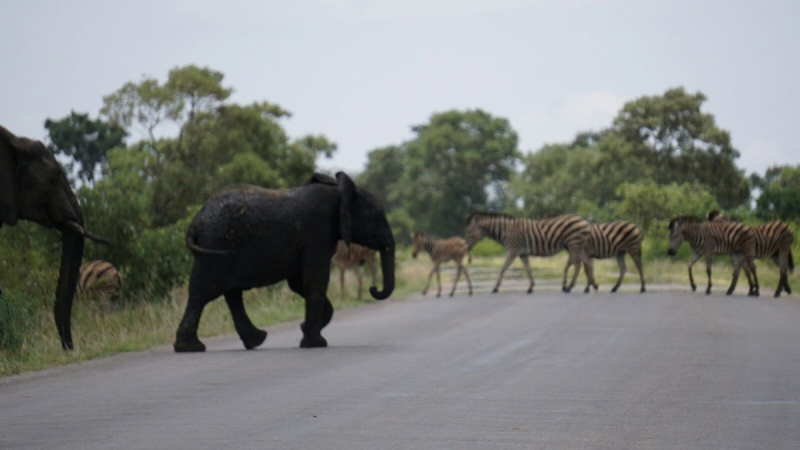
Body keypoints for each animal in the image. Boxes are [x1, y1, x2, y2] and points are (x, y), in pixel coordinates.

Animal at [174, 170, 394, 352]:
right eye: (378, 217)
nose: (374, 289)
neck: (339, 192)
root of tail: (194, 223)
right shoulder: (318, 230)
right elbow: (315, 278)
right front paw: (314, 343)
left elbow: (299, 283)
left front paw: (306, 328)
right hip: (216, 243)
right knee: (203, 292)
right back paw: (192, 347)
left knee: (229, 294)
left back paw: (253, 341)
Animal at [462, 212, 592, 294]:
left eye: (469, 230)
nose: (465, 247)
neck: (505, 232)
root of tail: (584, 220)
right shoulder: (522, 253)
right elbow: (528, 268)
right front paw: (531, 287)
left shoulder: (513, 250)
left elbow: (503, 268)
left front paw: (495, 288)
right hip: (578, 245)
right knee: (587, 264)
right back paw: (588, 287)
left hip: (573, 243)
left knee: (578, 265)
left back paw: (570, 287)